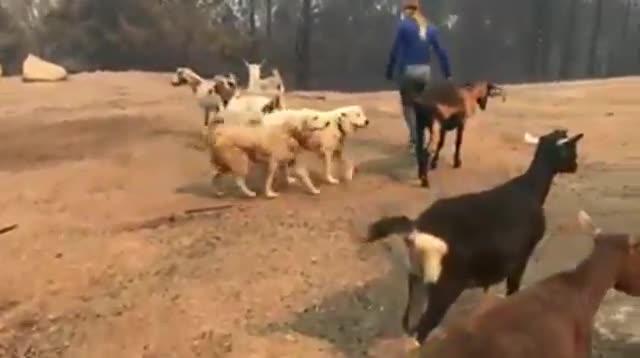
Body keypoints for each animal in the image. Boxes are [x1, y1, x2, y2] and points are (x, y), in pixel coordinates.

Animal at [364, 129, 584, 344]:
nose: (576, 166)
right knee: (422, 329)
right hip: (445, 287)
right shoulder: (521, 258)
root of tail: (417, 229)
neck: (531, 189)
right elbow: (513, 290)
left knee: (409, 324)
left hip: (417, 279)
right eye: (572, 151)